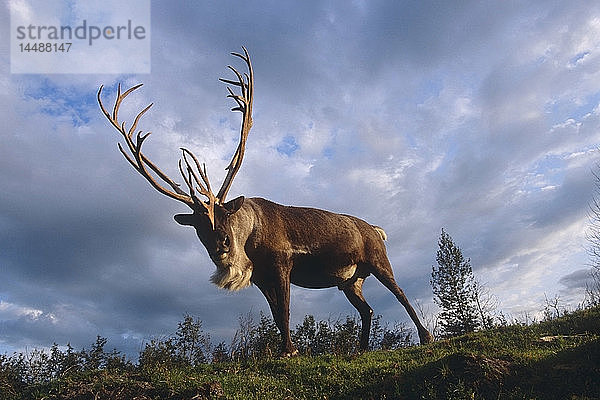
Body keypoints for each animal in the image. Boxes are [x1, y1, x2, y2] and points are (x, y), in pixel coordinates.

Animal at [99, 47, 436, 356]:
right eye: (196, 225)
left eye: (226, 214)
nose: (221, 245)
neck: (249, 240)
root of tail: (376, 229)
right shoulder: (261, 277)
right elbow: (274, 315)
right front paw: (287, 348)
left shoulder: (282, 263)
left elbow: (285, 310)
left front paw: (290, 351)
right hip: (349, 280)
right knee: (366, 309)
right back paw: (361, 349)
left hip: (377, 260)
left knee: (401, 294)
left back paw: (425, 336)